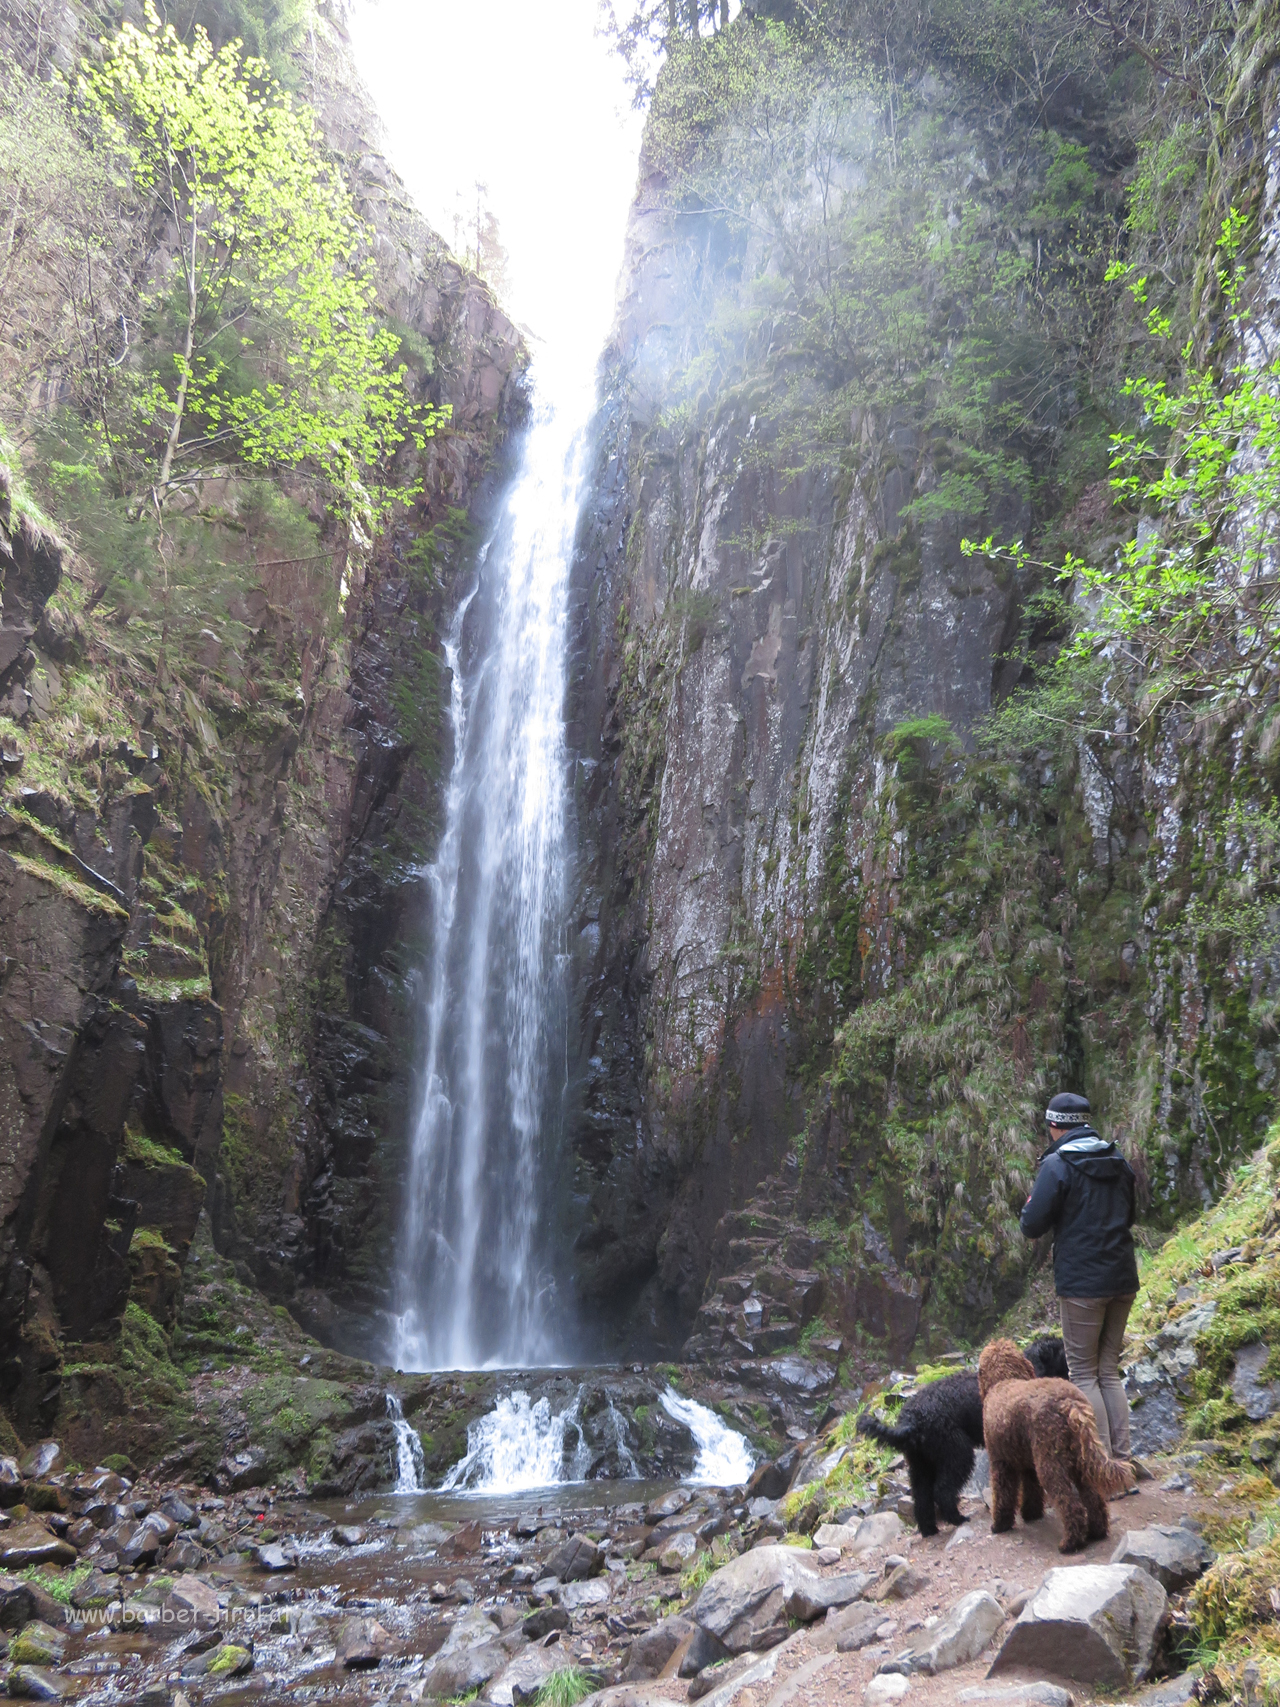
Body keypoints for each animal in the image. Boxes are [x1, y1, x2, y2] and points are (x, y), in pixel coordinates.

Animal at [863, 1338, 1071, 1543]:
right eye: (1062, 1348)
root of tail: (910, 1420)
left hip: (921, 1465)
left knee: (922, 1498)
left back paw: (930, 1529)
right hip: (957, 1453)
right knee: (942, 1490)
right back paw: (957, 1518)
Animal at [983, 1338, 1133, 1556]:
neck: (1004, 1380)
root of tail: (1070, 1404)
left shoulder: (1000, 1463)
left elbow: (1003, 1495)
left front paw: (1000, 1525)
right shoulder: (1029, 1464)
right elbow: (1032, 1490)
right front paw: (1031, 1513)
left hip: (1050, 1464)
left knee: (1071, 1506)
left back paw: (1069, 1543)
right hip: (1080, 1459)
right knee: (1093, 1499)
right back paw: (1096, 1531)